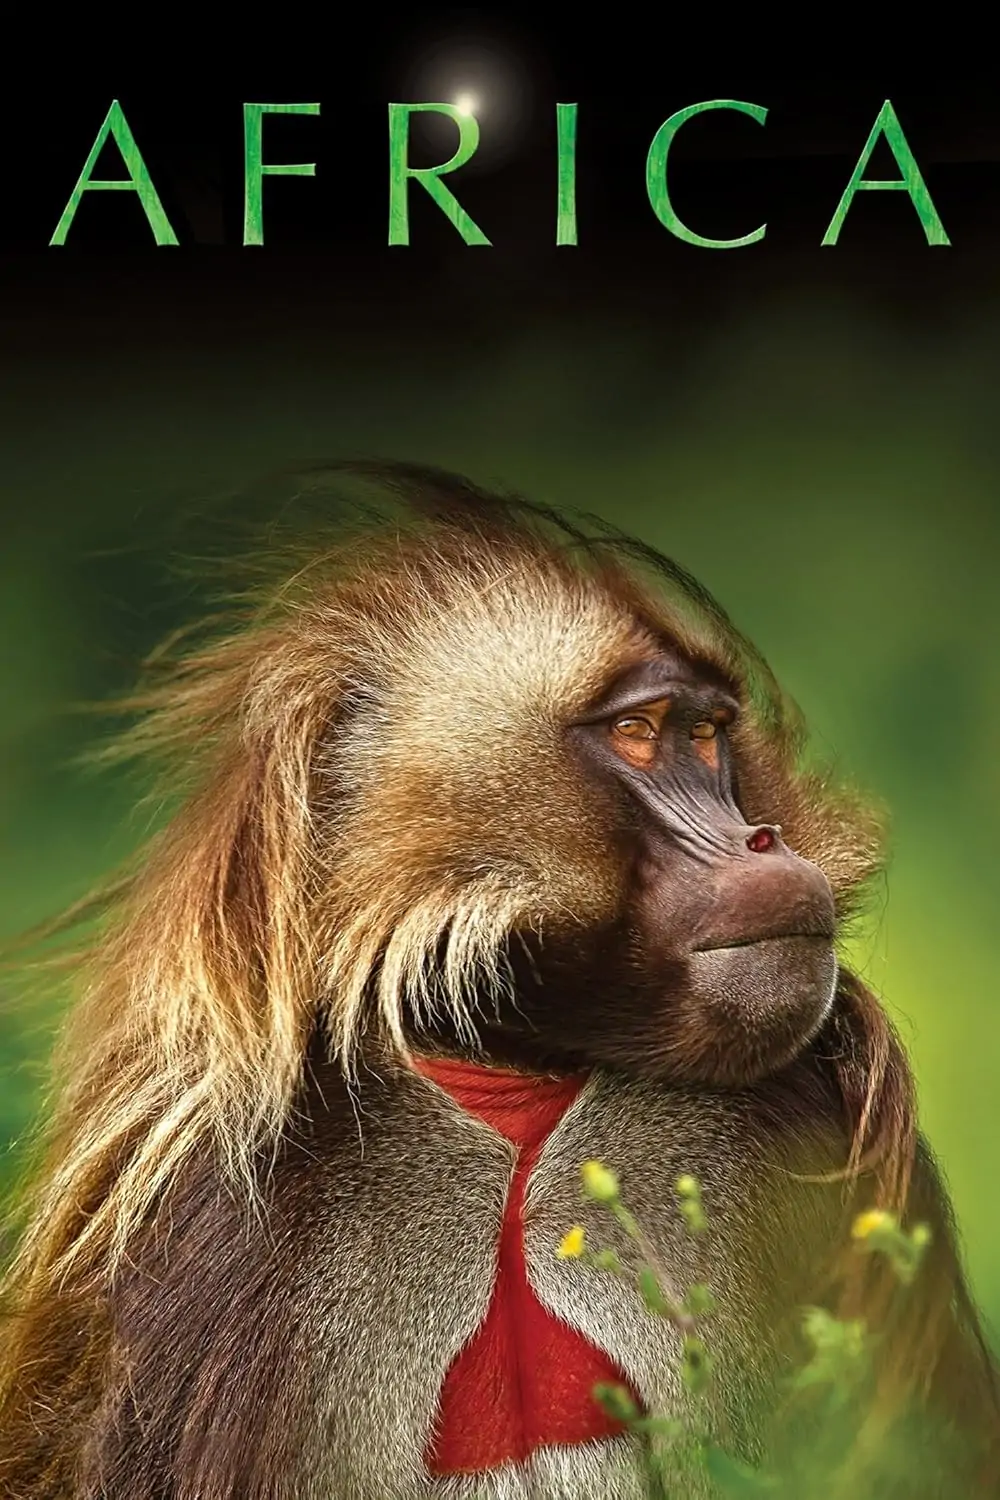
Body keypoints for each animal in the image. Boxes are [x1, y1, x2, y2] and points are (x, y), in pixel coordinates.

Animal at [0, 460, 996, 1499]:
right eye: (639, 732)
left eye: (708, 737)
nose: (761, 840)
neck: (513, 1081)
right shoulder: (211, 1229)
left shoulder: (807, 1119)